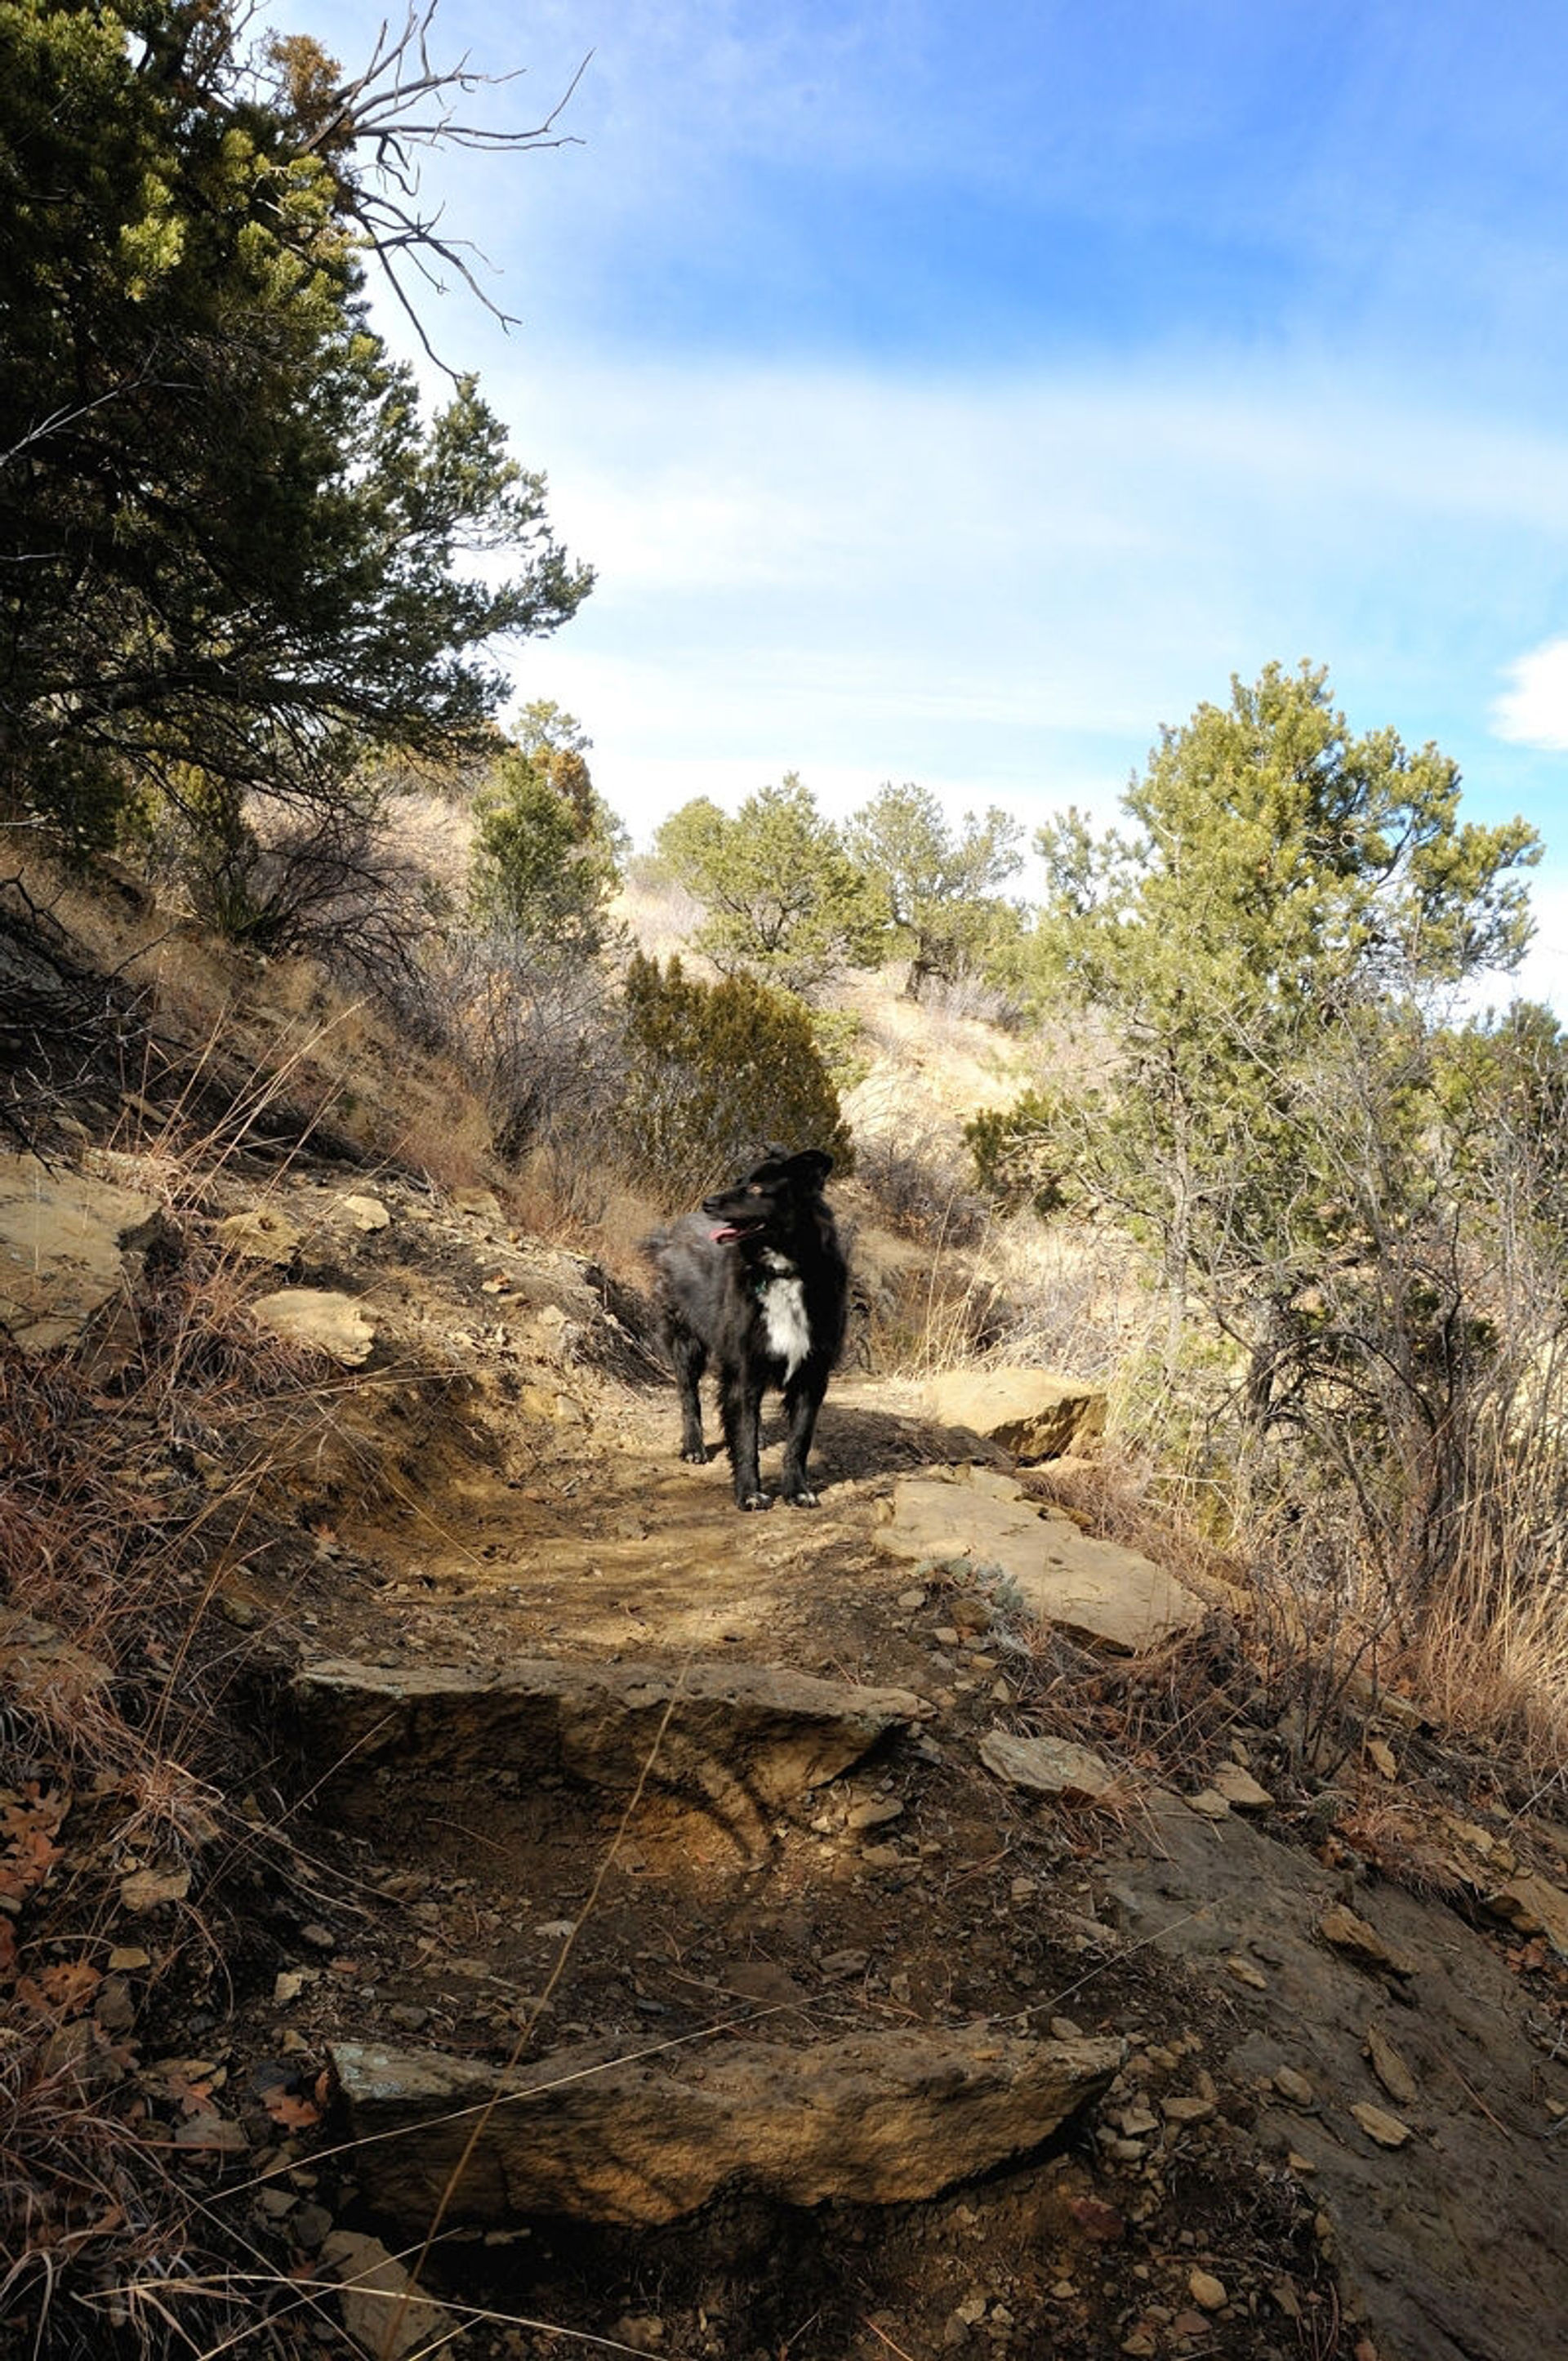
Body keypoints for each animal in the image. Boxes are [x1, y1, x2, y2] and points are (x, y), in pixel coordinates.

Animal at [647, 1147, 849, 1511]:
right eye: (738, 1180)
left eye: (756, 1189)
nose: (709, 1202)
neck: (781, 1272)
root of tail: (671, 1231)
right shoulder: (743, 1369)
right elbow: (743, 1439)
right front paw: (749, 1493)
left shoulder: (812, 1374)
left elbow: (799, 1441)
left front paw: (798, 1490)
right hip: (686, 1341)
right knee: (688, 1396)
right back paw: (694, 1447)